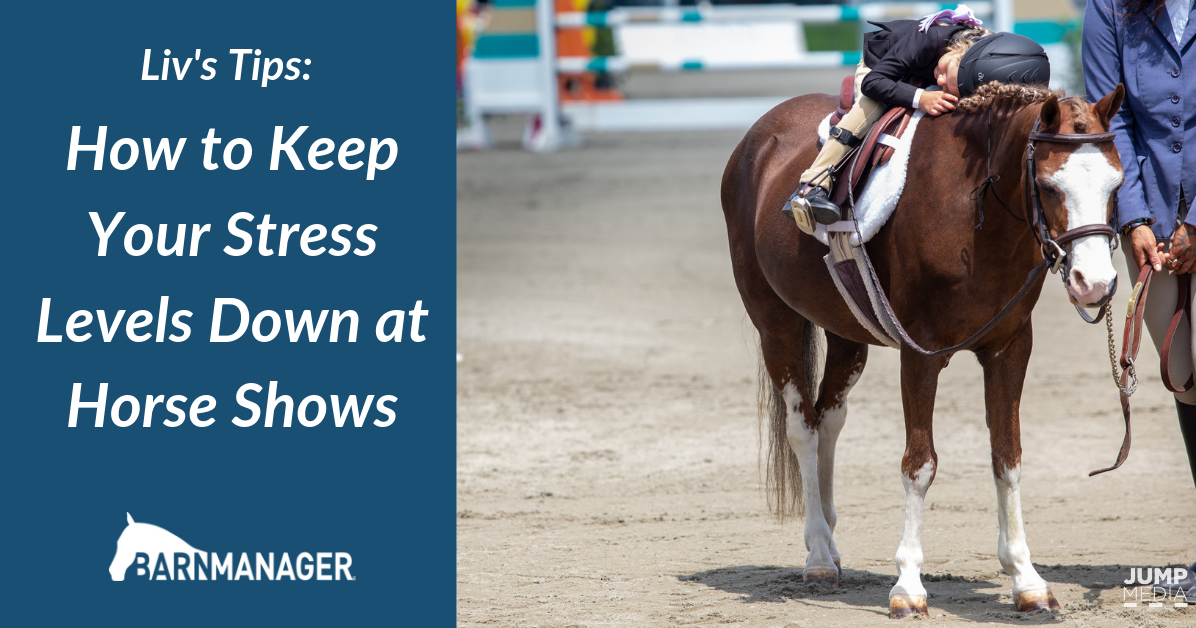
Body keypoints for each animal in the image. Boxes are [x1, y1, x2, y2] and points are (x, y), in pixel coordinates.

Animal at [720, 82, 1126, 618]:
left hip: (847, 334)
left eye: (1117, 185)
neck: (975, 219)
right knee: (802, 428)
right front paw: (908, 586)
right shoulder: (920, 355)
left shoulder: (1010, 347)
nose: (1094, 284)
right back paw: (819, 557)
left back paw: (827, 540)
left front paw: (1026, 579)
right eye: (1049, 185)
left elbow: (1007, 456)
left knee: (828, 418)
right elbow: (919, 464)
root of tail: (758, 137)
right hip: (776, 324)